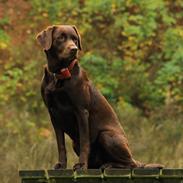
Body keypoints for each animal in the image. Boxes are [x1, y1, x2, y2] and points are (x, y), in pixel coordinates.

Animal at [36, 24, 163, 170]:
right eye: (60, 38)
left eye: (75, 39)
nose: (74, 49)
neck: (59, 75)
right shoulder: (53, 114)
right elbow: (61, 144)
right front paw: (61, 165)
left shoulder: (81, 111)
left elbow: (85, 141)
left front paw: (81, 164)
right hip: (76, 143)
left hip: (106, 135)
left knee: (130, 164)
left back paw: (109, 165)